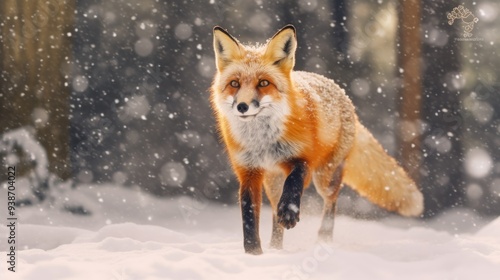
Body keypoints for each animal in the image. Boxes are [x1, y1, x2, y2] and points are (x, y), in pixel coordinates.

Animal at [209, 25, 424, 255]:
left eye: (263, 83)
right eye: (234, 83)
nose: (242, 106)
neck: (263, 142)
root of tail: (344, 95)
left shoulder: (303, 160)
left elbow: (294, 183)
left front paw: (289, 213)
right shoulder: (249, 172)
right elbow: (248, 217)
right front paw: (253, 253)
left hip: (324, 177)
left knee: (331, 202)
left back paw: (324, 240)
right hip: (273, 184)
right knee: (275, 213)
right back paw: (276, 247)